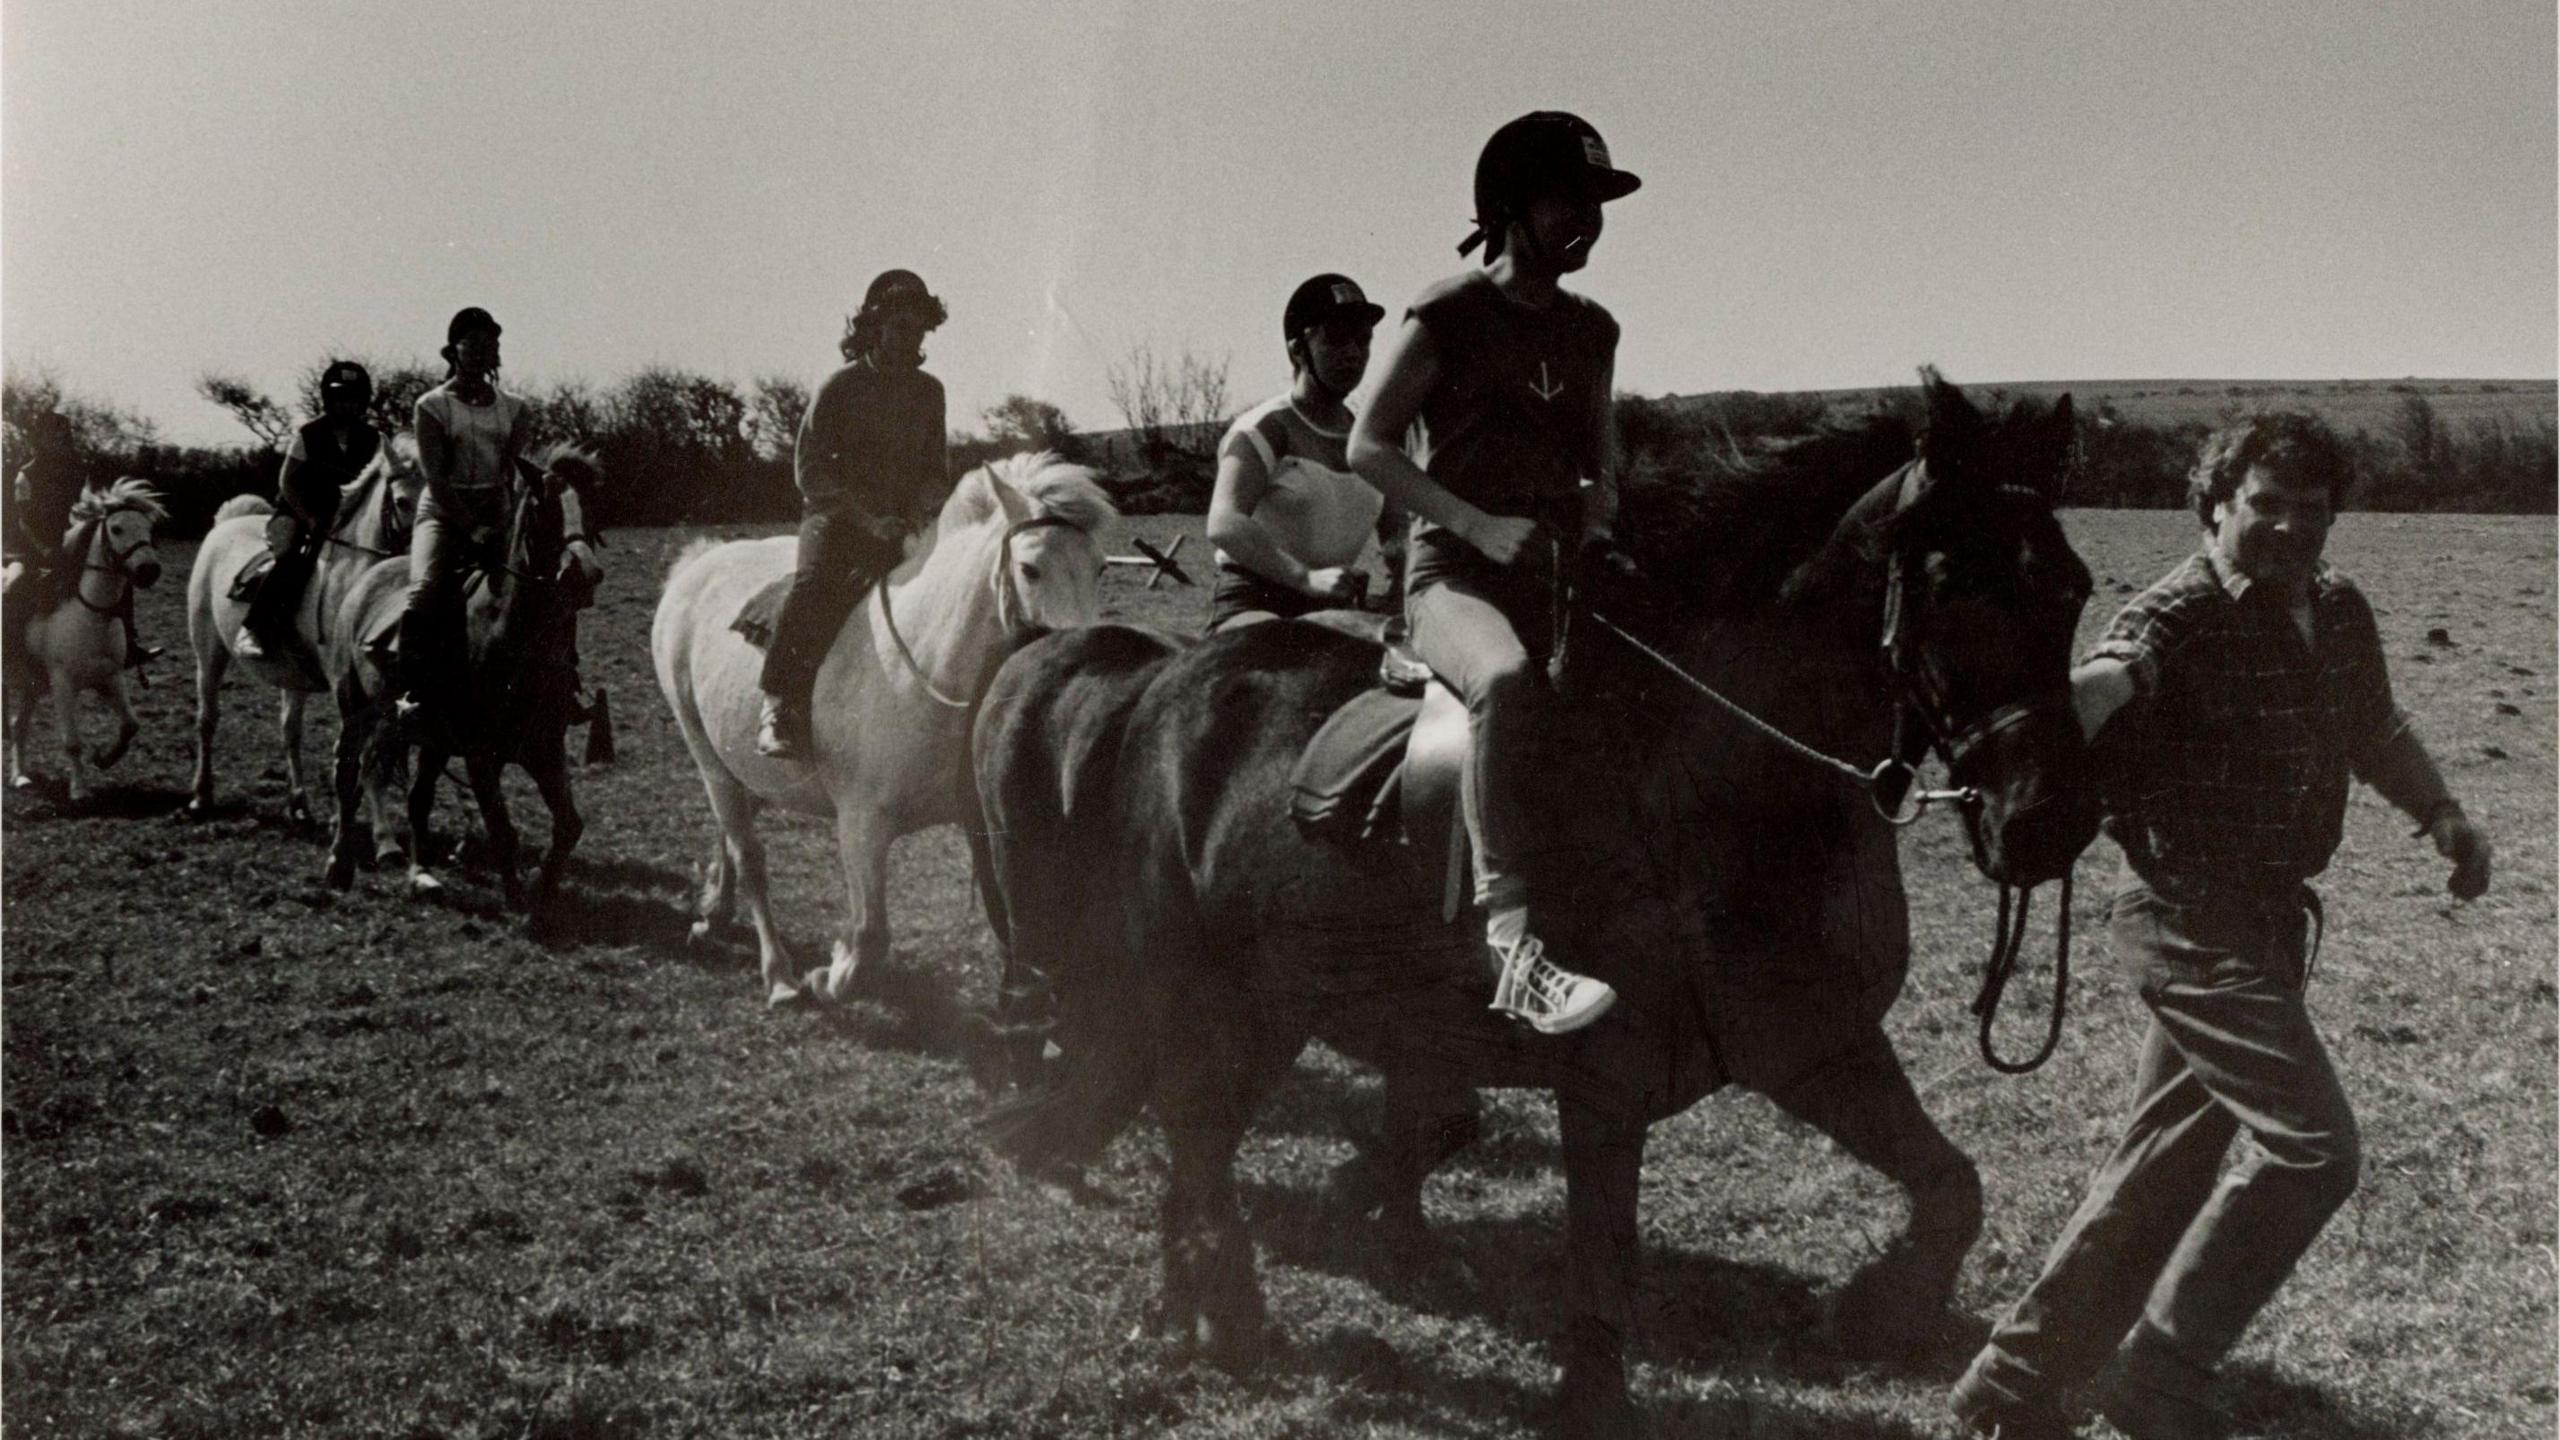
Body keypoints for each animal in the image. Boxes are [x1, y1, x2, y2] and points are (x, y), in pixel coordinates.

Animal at [2, 479, 167, 794]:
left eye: (149, 528)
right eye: (116, 528)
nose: (149, 570)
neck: (90, 616)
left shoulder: (110, 678)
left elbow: (131, 725)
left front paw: (103, 758)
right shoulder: (63, 683)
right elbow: (72, 742)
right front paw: (79, 790)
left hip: (31, 684)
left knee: (19, 725)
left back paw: (20, 775)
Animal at [183, 438, 419, 819]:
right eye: (401, 501)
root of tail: (226, 525)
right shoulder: (345, 684)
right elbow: (348, 749)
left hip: (291, 675)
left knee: (289, 730)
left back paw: (298, 802)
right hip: (209, 653)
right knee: (207, 720)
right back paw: (201, 795)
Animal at [330, 443, 604, 901]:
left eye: (593, 507)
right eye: (542, 507)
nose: (582, 573)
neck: (510, 640)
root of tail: (368, 578)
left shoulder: (543, 748)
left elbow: (570, 825)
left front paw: (542, 882)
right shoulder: (480, 755)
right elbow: (503, 830)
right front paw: (518, 895)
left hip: (431, 740)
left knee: (417, 799)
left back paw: (421, 873)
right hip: (355, 709)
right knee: (347, 775)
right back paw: (338, 865)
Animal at [650, 448, 1111, 999]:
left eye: (1100, 567)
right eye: (1030, 568)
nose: (1082, 658)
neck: (924, 665)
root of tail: (697, 565)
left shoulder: (981, 823)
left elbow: (1011, 923)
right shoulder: (861, 825)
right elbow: (870, 937)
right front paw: (831, 972)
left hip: (740, 766)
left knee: (730, 831)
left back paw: (714, 913)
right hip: (706, 756)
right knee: (750, 854)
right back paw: (778, 974)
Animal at [977, 376, 2099, 1424]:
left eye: (2073, 590)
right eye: (1951, 585)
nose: (2046, 820)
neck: (1698, 776)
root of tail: (1157, 686)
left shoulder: (1811, 1043)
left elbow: (1951, 1187)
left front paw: (1876, 1308)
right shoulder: (1605, 1080)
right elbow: (1601, 1253)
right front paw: (1592, 1394)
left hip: (1273, 1004)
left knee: (1196, 1142)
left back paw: (1205, 1311)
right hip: (1199, 992)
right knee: (1195, 1131)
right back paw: (1228, 1310)